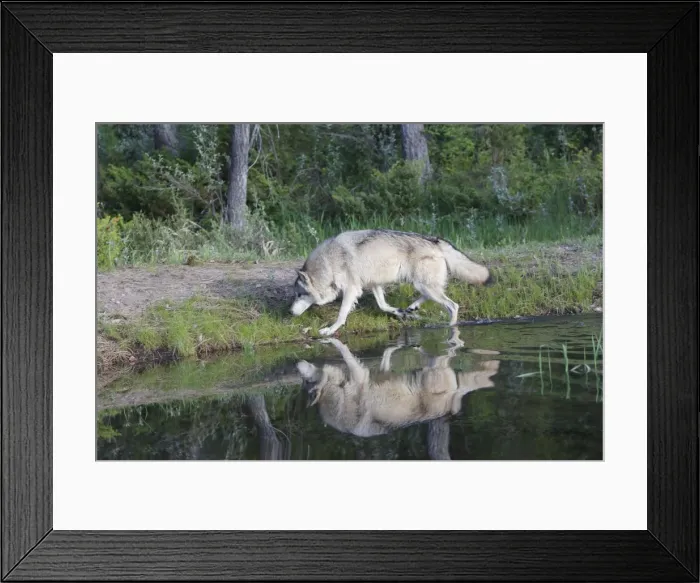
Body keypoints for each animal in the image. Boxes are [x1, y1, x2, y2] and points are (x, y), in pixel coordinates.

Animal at [290, 229, 492, 336]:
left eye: (299, 294)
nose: (290, 312)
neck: (329, 263)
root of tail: (434, 240)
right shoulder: (374, 285)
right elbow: (383, 305)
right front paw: (399, 312)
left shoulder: (352, 289)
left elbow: (341, 314)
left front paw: (330, 330)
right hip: (422, 285)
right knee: (428, 297)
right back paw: (411, 308)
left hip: (424, 285)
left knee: (453, 306)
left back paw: (451, 328)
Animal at [296, 334, 500, 441]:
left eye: (306, 381)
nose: (296, 365)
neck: (334, 395)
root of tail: (451, 406)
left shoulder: (359, 376)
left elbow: (346, 353)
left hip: (431, 370)